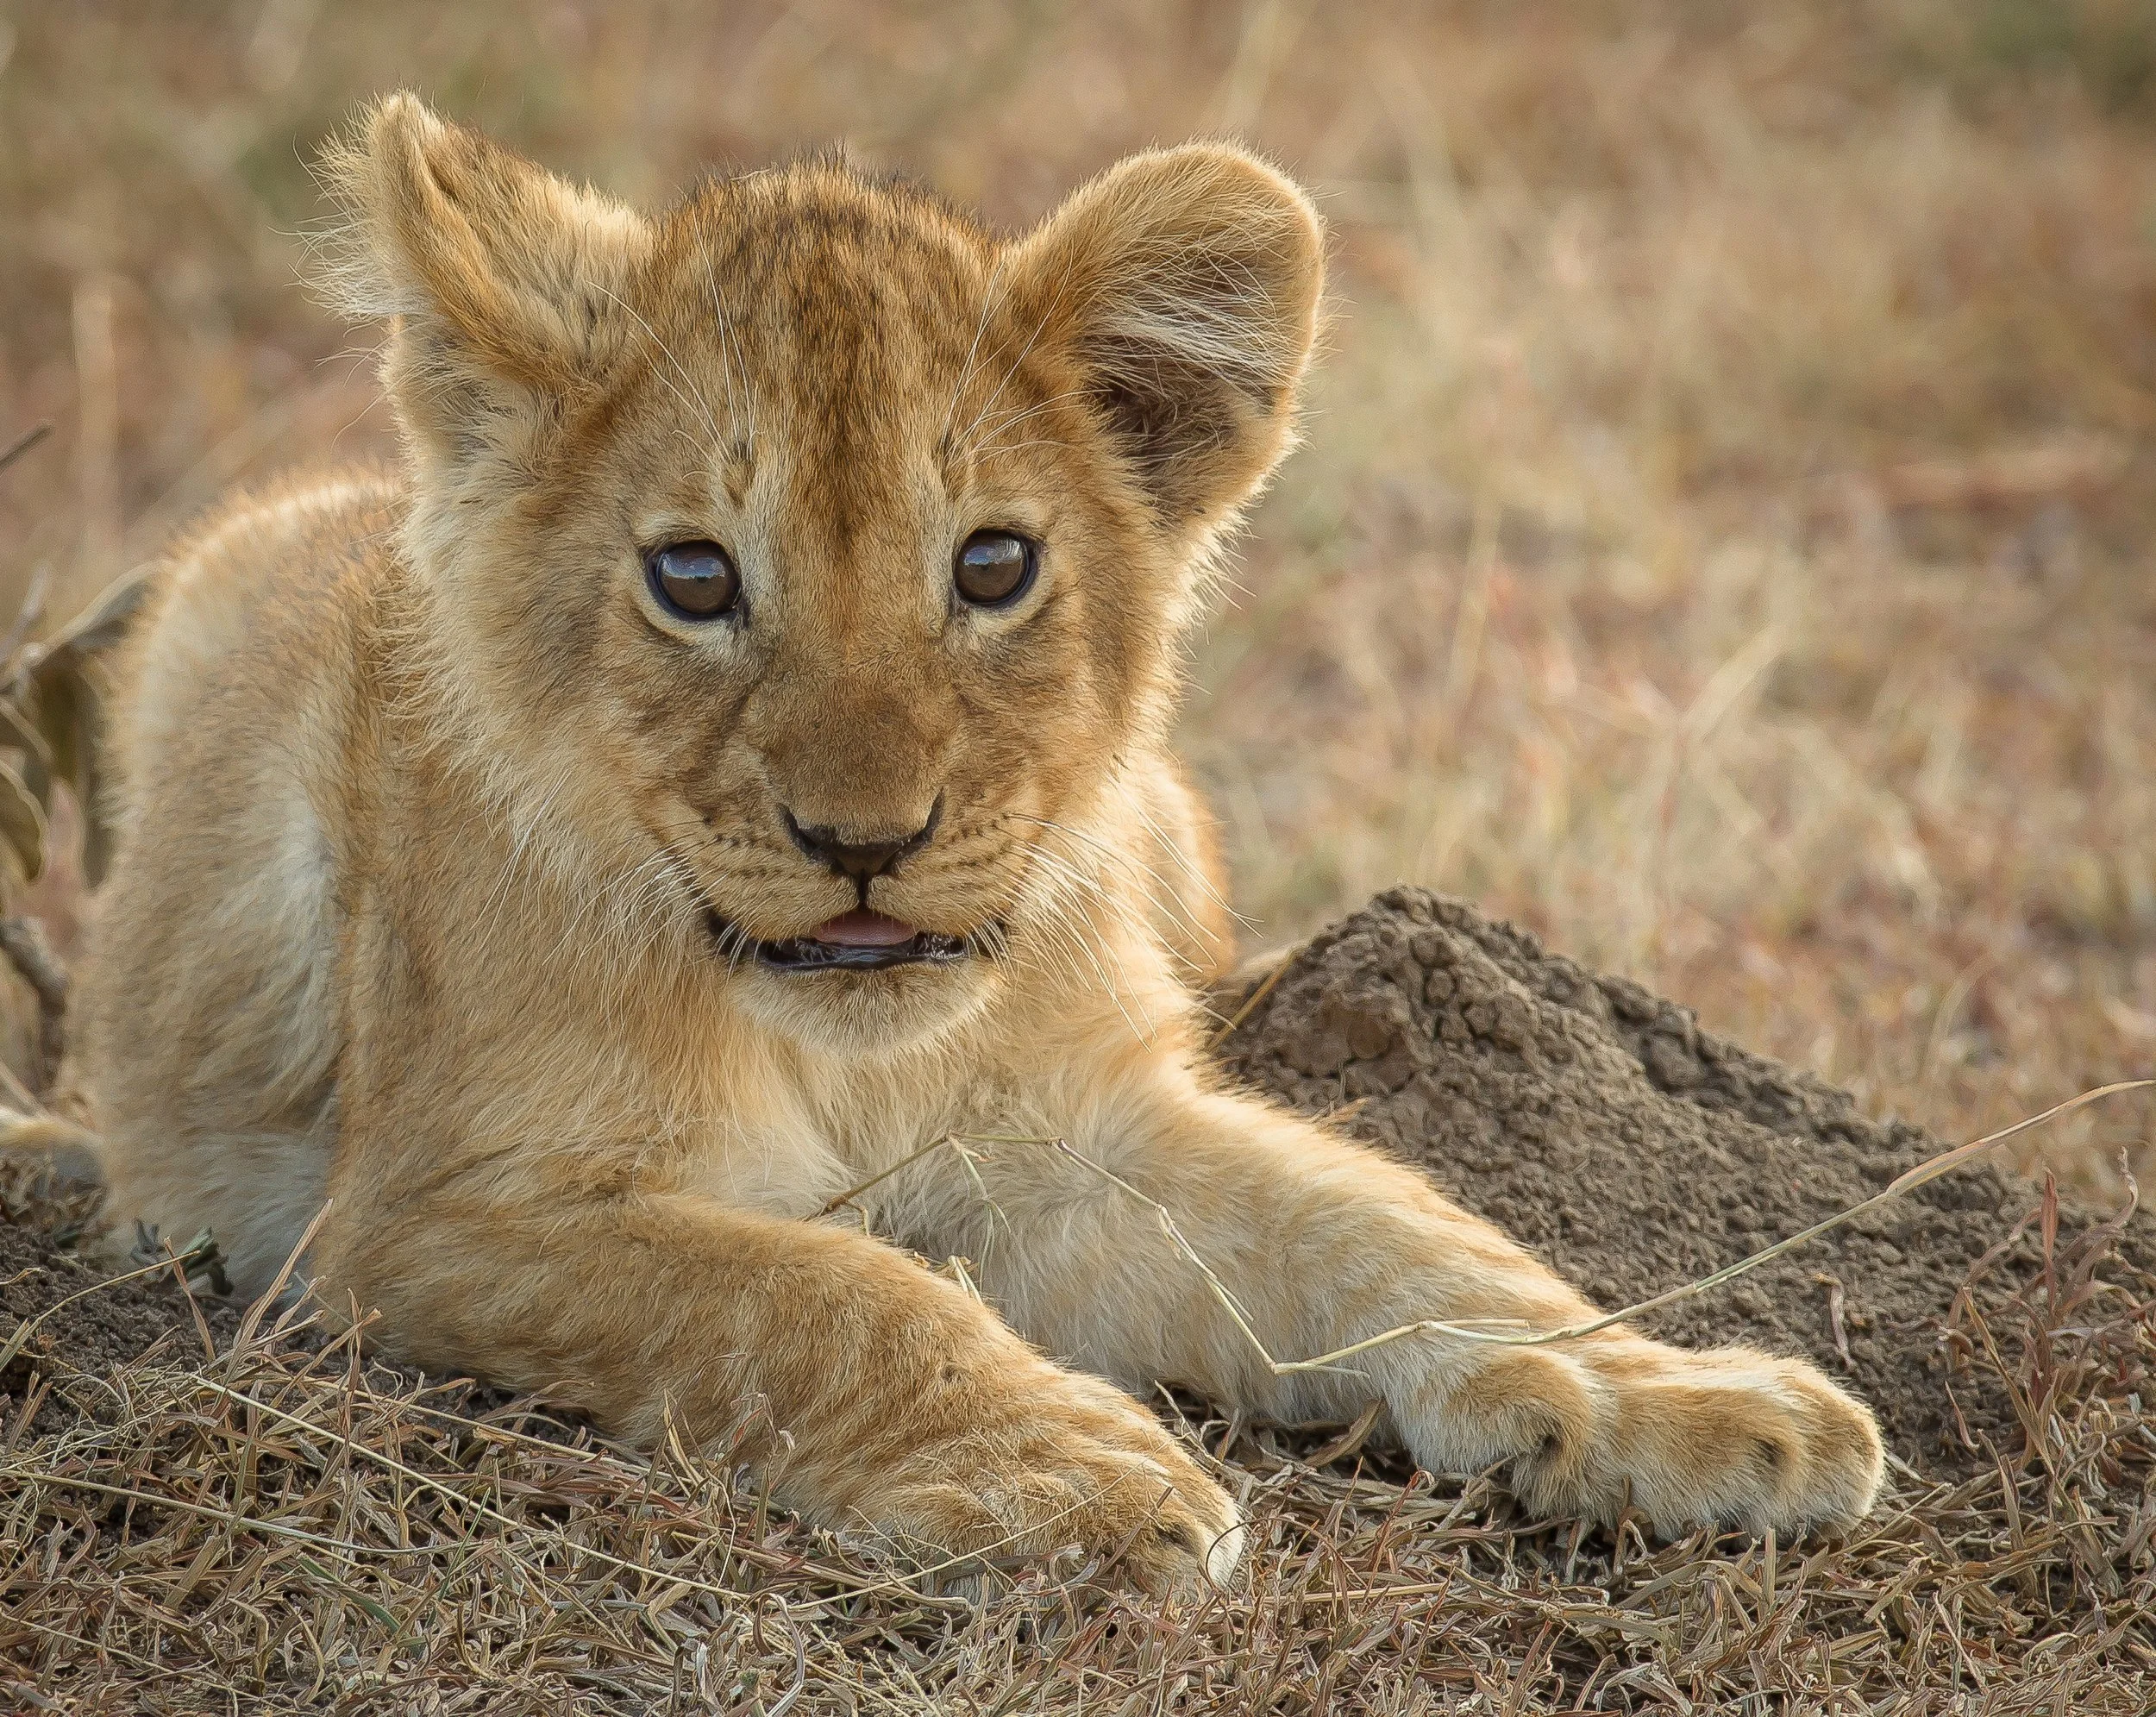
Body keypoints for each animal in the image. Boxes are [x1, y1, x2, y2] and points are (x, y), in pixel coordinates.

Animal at [64, 96, 1882, 1592]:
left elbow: (1383, 1229)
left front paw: (1668, 1390)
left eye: (994, 567)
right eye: (694, 577)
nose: (863, 841)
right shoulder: (427, 1216)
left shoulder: (1080, 1141)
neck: (855, 1052)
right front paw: (1068, 1467)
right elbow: (819, 1291)